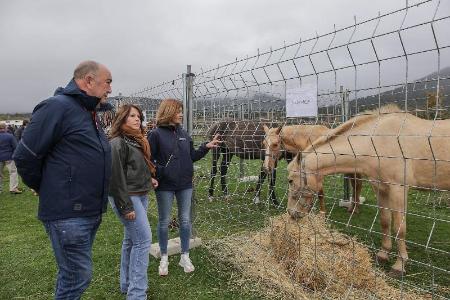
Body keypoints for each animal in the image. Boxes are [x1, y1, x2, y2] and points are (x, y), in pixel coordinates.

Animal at [288, 105, 450, 274]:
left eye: (290, 180)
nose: (291, 213)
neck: (378, 142)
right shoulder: (380, 188)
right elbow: (385, 221)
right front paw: (383, 254)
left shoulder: (398, 190)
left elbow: (400, 228)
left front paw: (399, 265)